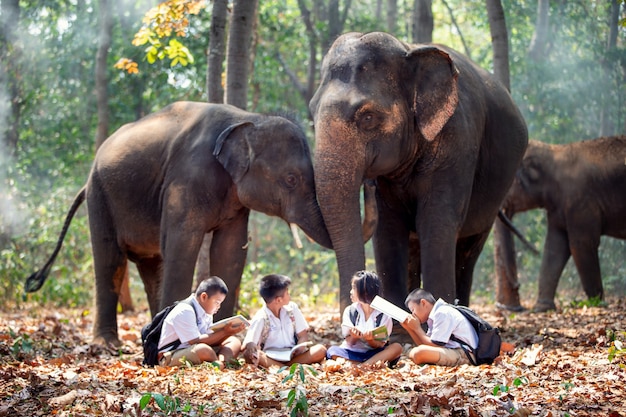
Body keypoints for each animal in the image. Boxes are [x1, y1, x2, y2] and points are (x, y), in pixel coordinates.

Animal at [25, 101, 332, 344]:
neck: (248, 117)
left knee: (151, 264)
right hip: (99, 194)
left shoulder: (235, 199)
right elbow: (183, 245)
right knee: (109, 258)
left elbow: (230, 251)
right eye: (291, 179)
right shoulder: (186, 178)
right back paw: (107, 344)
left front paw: (230, 331)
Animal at [308, 32, 528, 310]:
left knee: (468, 249)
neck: (408, 50)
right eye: (312, 114)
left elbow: (436, 222)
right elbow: (388, 229)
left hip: (494, 195)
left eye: (368, 117)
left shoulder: (457, 143)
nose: (368, 184)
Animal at [498, 136, 624, 312]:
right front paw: (542, 307)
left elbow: (581, 244)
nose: (517, 285)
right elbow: (555, 247)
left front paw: (597, 303)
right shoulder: (559, 207)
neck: (553, 152)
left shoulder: (580, 200)